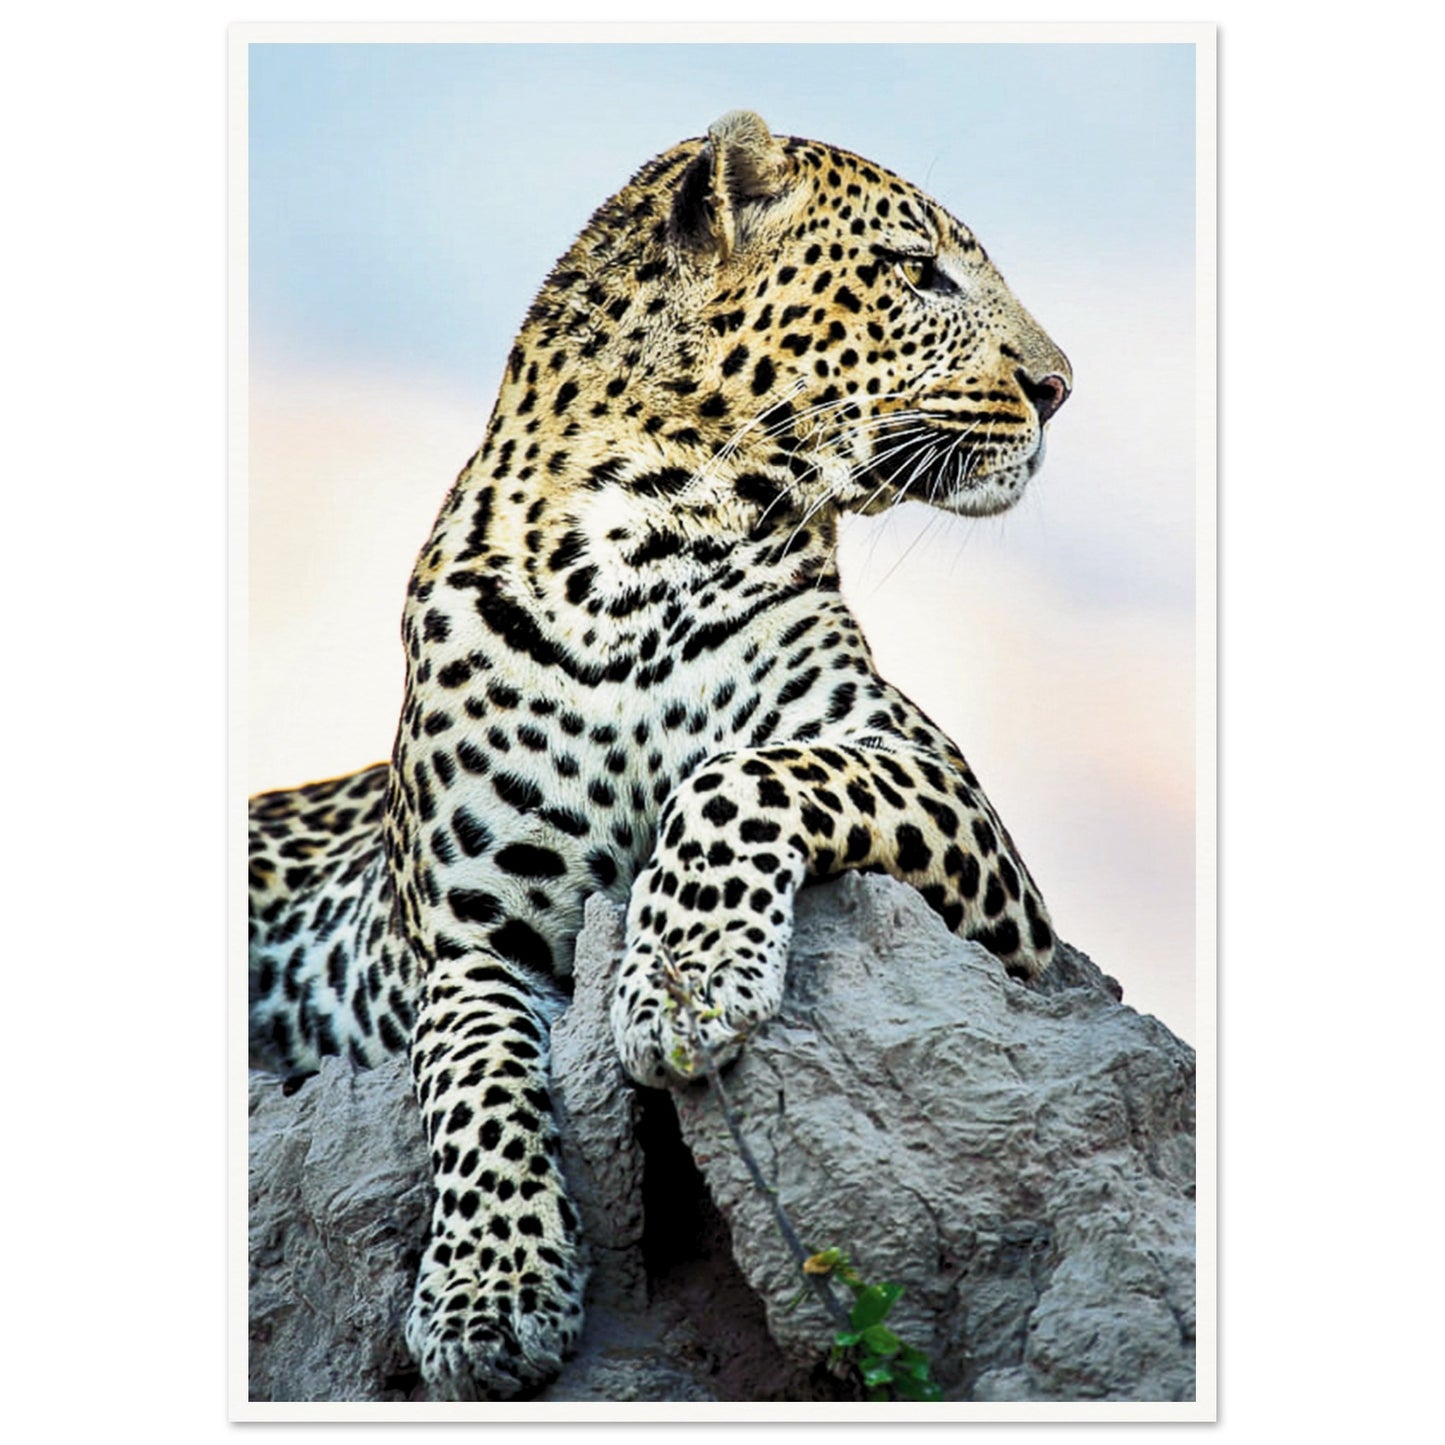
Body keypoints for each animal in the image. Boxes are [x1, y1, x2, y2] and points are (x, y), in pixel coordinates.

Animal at [248, 109, 1071, 1401]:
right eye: (918, 271)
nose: (1059, 387)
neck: (631, 554)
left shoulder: (963, 828)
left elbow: (738, 774)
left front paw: (682, 985)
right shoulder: (465, 942)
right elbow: (471, 1074)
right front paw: (489, 1297)